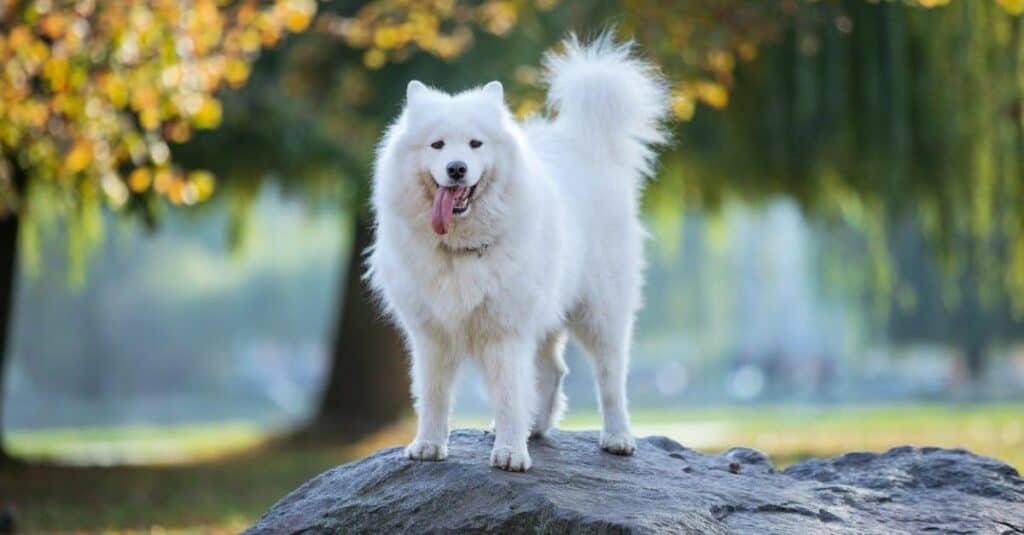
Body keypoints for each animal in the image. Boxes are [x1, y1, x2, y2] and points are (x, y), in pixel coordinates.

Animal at [364, 35, 667, 471]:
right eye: (437, 145)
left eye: (476, 144)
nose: (456, 168)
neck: (460, 249)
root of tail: (582, 142)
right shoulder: (432, 334)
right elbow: (434, 396)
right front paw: (429, 445)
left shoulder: (505, 331)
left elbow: (509, 395)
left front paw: (510, 452)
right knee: (553, 370)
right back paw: (536, 427)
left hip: (600, 312)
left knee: (610, 377)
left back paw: (618, 437)